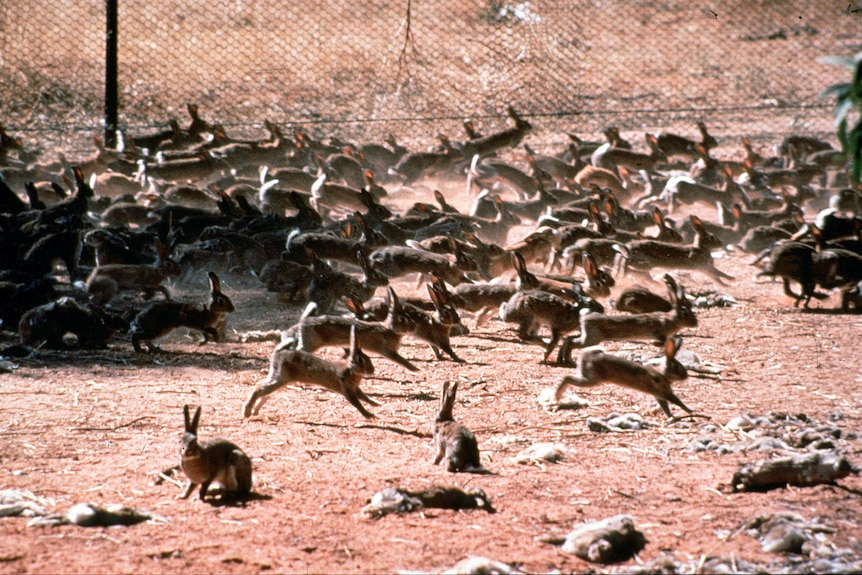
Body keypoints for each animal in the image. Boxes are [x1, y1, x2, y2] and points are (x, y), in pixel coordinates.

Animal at [244, 323, 379, 418]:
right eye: (361, 360)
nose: (372, 370)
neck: (351, 369)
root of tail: (279, 352)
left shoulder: (355, 388)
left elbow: (365, 397)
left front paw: (376, 404)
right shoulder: (347, 390)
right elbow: (357, 403)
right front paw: (369, 416)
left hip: (283, 381)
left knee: (265, 393)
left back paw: (254, 412)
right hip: (281, 378)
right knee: (258, 388)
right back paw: (247, 412)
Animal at [554, 335, 693, 418]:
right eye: (676, 367)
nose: (686, 376)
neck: (663, 373)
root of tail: (586, 356)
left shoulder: (659, 395)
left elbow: (665, 407)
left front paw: (672, 417)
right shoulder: (665, 392)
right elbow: (677, 401)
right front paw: (691, 411)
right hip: (591, 380)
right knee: (567, 377)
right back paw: (557, 396)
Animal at [557, 274, 696, 365]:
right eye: (686, 314)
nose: (696, 323)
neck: (672, 318)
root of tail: (584, 317)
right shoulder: (659, 333)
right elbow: (661, 341)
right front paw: (656, 345)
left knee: (569, 340)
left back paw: (562, 359)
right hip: (592, 338)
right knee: (571, 342)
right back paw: (568, 360)